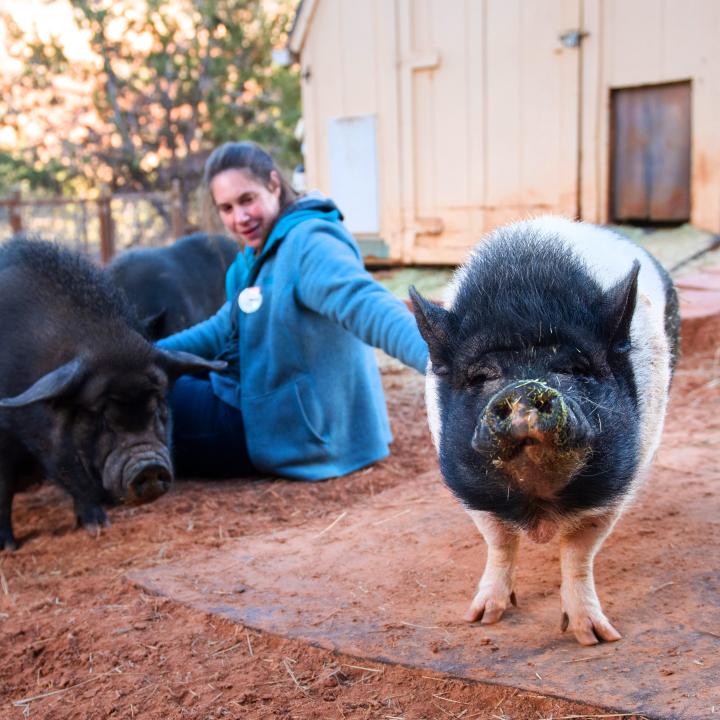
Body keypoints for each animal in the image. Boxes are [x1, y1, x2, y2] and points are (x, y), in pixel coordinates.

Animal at [0, 237, 225, 550]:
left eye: (158, 405)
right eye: (100, 417)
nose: (148, 466)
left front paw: (97, 526)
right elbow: (5, 486)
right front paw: (10, 547)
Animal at [410, 216, 679, 646]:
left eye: (575, 368)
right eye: (481, 376)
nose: (524, 388)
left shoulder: (615, 488)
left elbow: (578, 552)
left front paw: (597, 638)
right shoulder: (473, 491)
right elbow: (499, 541)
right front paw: (482, 619)